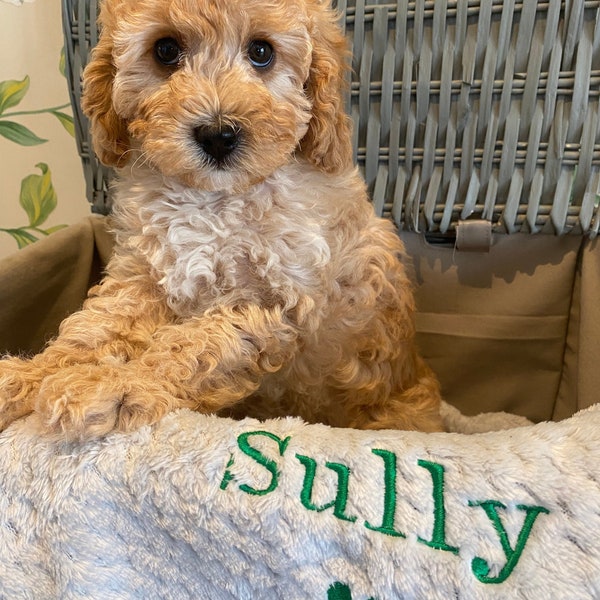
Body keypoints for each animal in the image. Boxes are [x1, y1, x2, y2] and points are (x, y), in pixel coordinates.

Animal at [0, 0, 440, 438]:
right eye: (165, 50)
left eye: (262, 51)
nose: (217, 135)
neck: (213, 198)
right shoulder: (144, 274)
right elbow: (96, 326)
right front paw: (30, 376)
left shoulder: (272, 301)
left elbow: (194, 345)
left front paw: (113, 386)